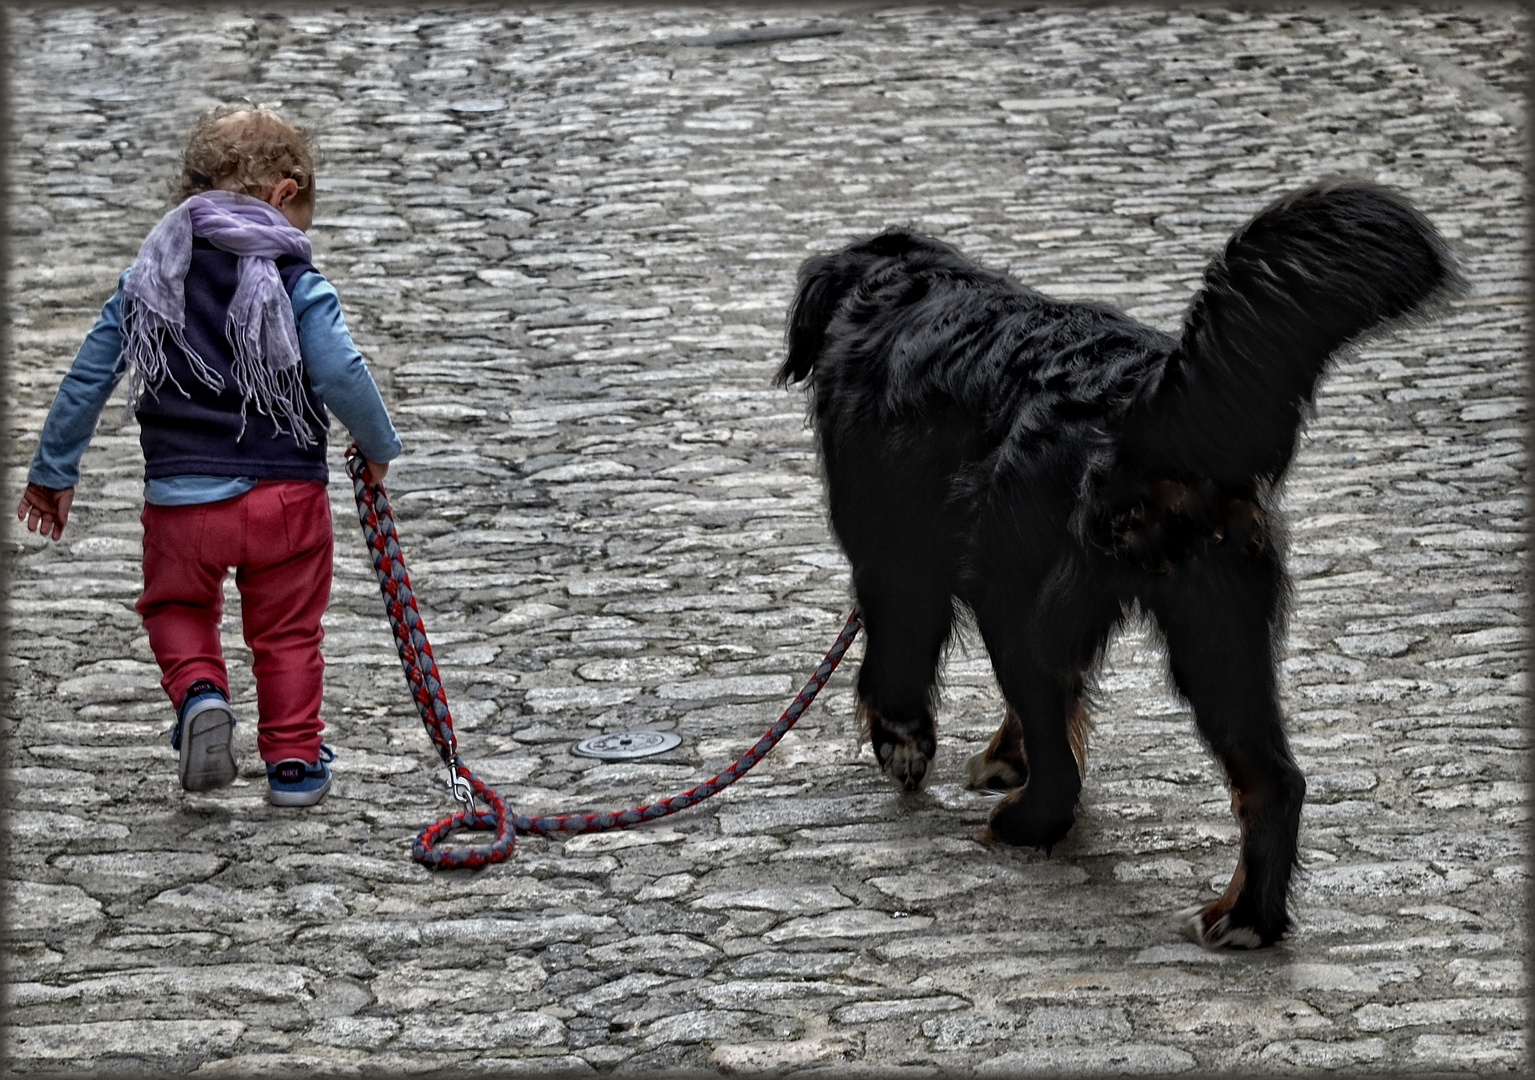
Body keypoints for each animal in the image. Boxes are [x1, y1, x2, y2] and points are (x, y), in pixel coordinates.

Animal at [779, 183, 1461, 945]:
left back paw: (1023, 823)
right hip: (1217, 634)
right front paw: (1000, 755)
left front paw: (905, 745)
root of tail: (1142, 403)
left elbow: (895, 665)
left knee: (1060, 765)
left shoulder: (893, 561)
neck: (902, 286)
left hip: (1026, 612)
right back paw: (1245, 917)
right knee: (1273, 782)